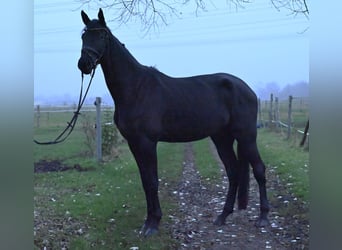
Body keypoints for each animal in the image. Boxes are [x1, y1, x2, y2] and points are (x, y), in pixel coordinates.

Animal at [77, 8, 270, 237]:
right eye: (83, 36)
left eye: (101, 36)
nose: (84, 64)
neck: (136, 88)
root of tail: (247, 89)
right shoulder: (134, 143)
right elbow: (145, 181)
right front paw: (148, 221)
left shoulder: (147, 142)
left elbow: (152, 181)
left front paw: (153, 224)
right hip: (221, 138)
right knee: (233, 172)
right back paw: (222, 216)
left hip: (246, 136)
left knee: (259, 169)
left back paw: (263, 218)